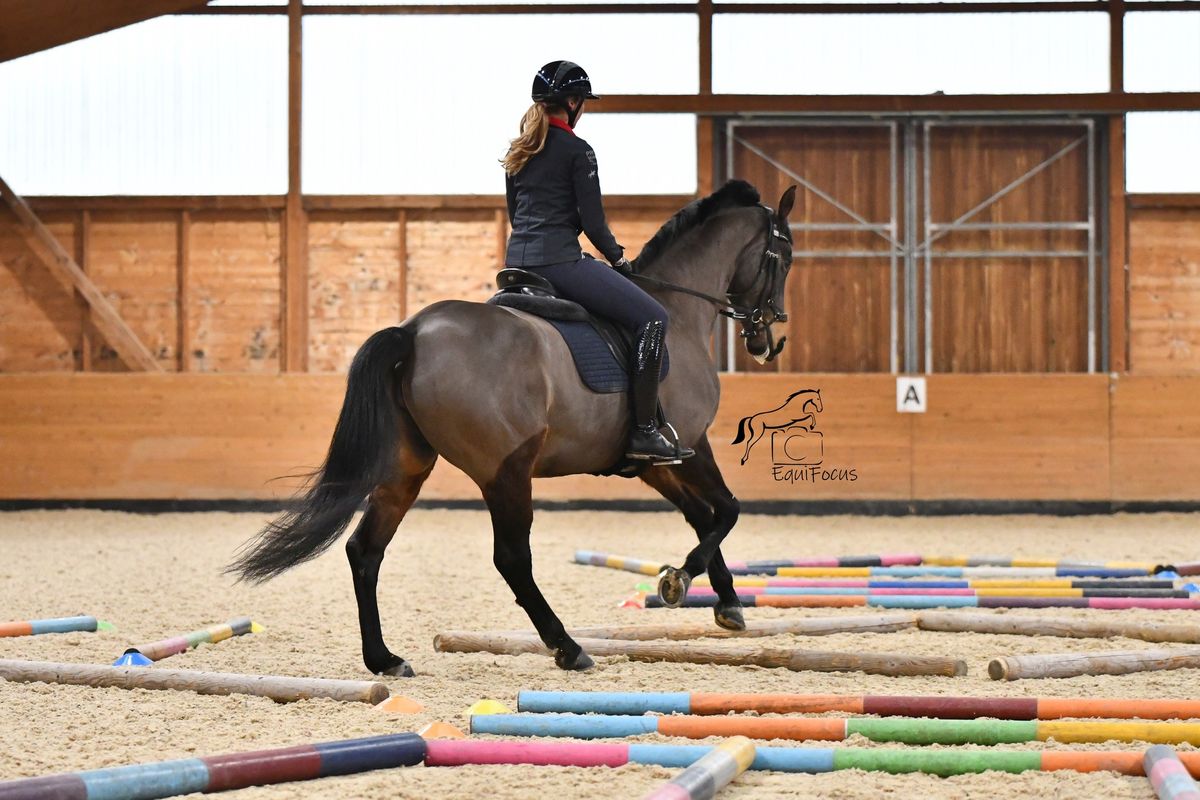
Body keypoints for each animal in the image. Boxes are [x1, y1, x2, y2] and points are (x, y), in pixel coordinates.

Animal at [231, 179, 796, 676]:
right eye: (785, 258)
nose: (766, 340)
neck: (677, 315)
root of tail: (413, 332)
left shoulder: (654, 462)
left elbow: (704, 516)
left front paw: (727, 603)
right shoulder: (690, 444)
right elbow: (726, 510)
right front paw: (679, 580)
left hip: (406, 470)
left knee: (365, 551)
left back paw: (385, 659)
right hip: (507, 470)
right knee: (511, 560)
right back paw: (568, 648)